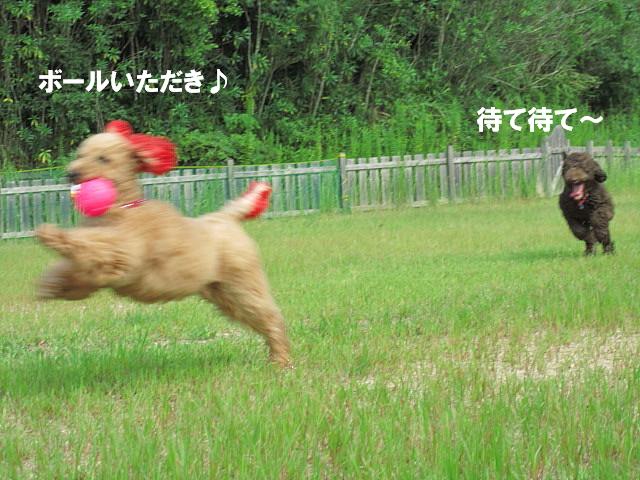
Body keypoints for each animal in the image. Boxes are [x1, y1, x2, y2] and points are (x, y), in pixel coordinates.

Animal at [36, 121, 290, 367]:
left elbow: (92, 244)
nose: (71, 173)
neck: (122, 209)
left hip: (242, 285)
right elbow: (75, 270)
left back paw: (281, 360)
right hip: (223, 293)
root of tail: (226, 217)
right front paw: (52, 285)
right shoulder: (94, 268)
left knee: (271, 318)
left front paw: (51, 235)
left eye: (103, 158)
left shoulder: (124, 253)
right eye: (80, 154)